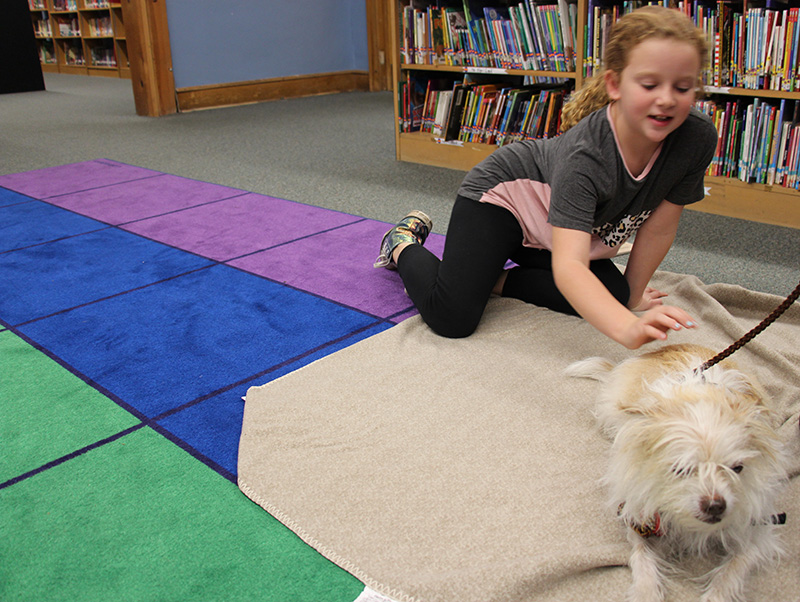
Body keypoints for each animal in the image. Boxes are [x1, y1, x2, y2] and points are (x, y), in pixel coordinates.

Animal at [568, 342, 788, 600]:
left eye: (737, 468)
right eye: (680, 469)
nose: (715, 505)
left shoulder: (756, 529)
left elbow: (732, 571)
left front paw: (716, 594)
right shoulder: (638, 515)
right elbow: (641, 556)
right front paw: (646, 591)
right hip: (610, 413)